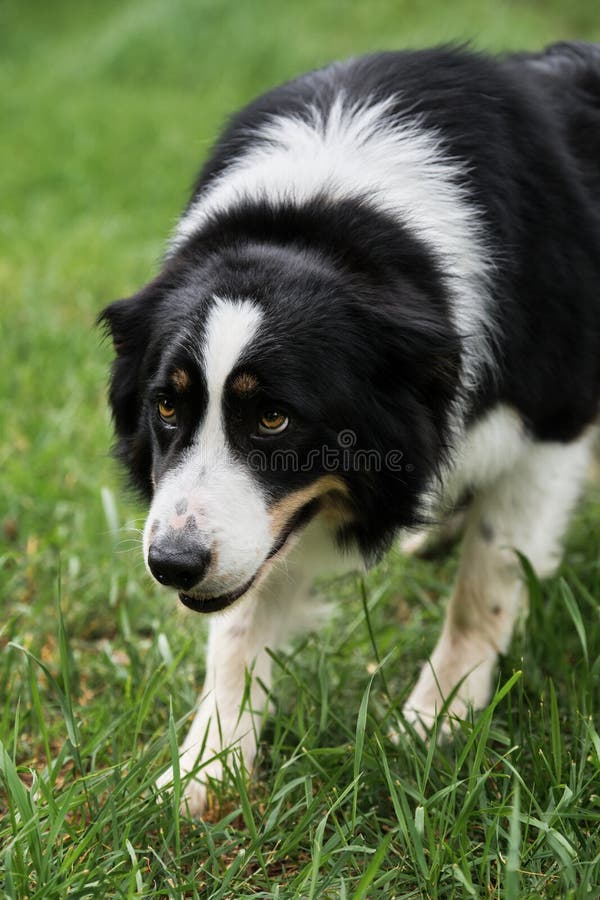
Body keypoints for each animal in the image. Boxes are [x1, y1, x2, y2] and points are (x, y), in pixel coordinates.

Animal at [101, 42, 600, 816]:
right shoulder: (259, 526)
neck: (330, 216)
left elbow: (484, 585)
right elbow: (240, 620)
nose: (172, 564)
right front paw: (205, 772)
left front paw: (434, 723)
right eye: (168, 407)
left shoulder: (552, 419)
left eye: (273, 417)